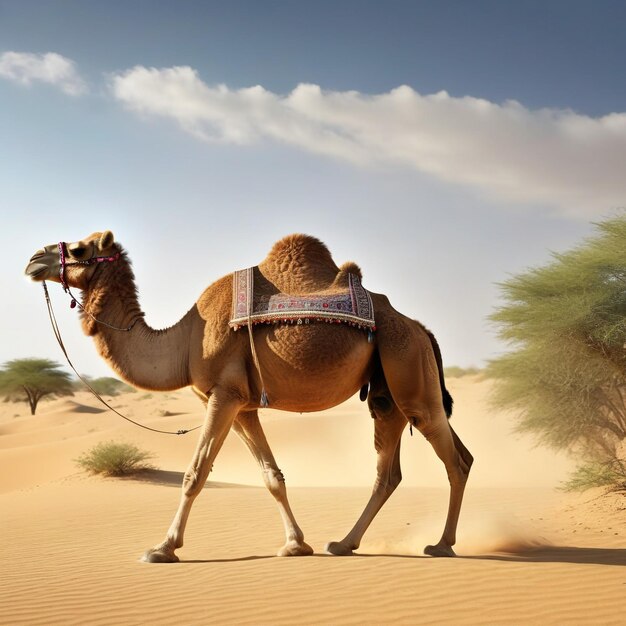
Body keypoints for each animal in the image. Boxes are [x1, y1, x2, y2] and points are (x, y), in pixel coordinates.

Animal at [25, 229, 472, 560]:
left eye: (79, 249)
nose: (32, 260)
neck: (185, 339)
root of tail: (420, 327)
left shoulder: (224, 395)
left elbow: (195, 472)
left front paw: (163, 548)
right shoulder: (240, 404)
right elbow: (271, 475)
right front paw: (295, 545)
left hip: (407, 364)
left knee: (454, 459)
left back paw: (441, 545)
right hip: (386, 392)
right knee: (392, 469)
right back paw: (344, 543)